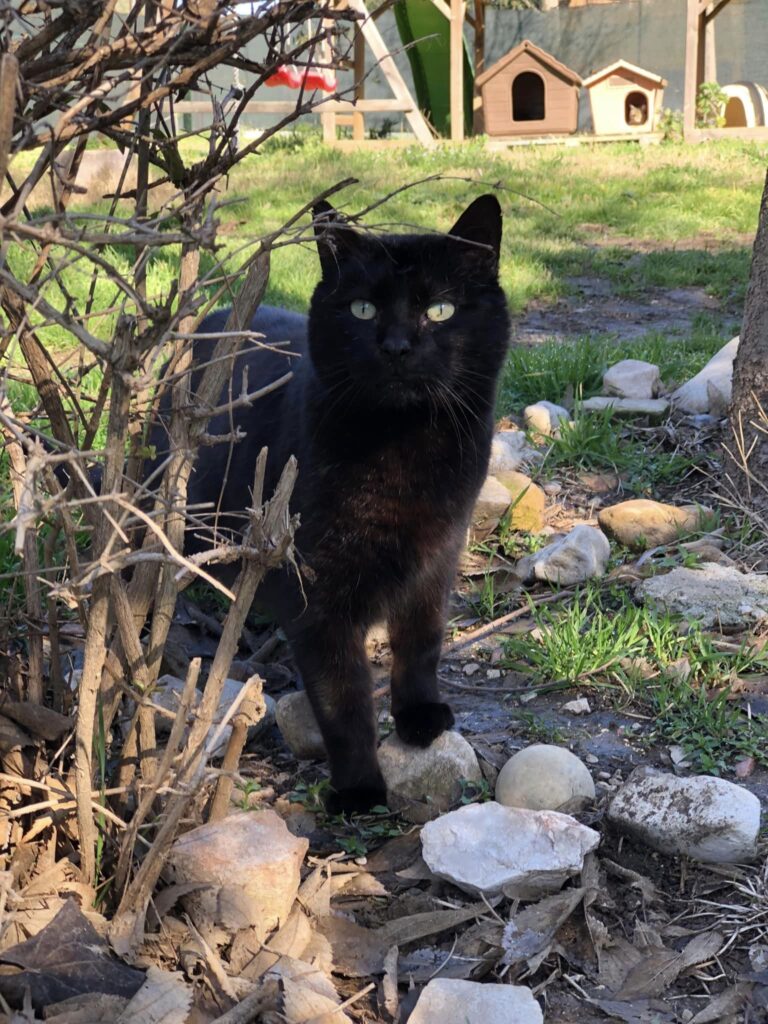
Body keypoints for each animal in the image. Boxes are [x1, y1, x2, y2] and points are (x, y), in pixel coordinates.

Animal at [160, 195, 510, 814]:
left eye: (441, 310)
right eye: (363, 309)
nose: (396, 346)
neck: (402, 448)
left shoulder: (437, 558)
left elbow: (421, 643)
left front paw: (420, 716)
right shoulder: (317, 593)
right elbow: (342, 698)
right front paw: (360, 788)